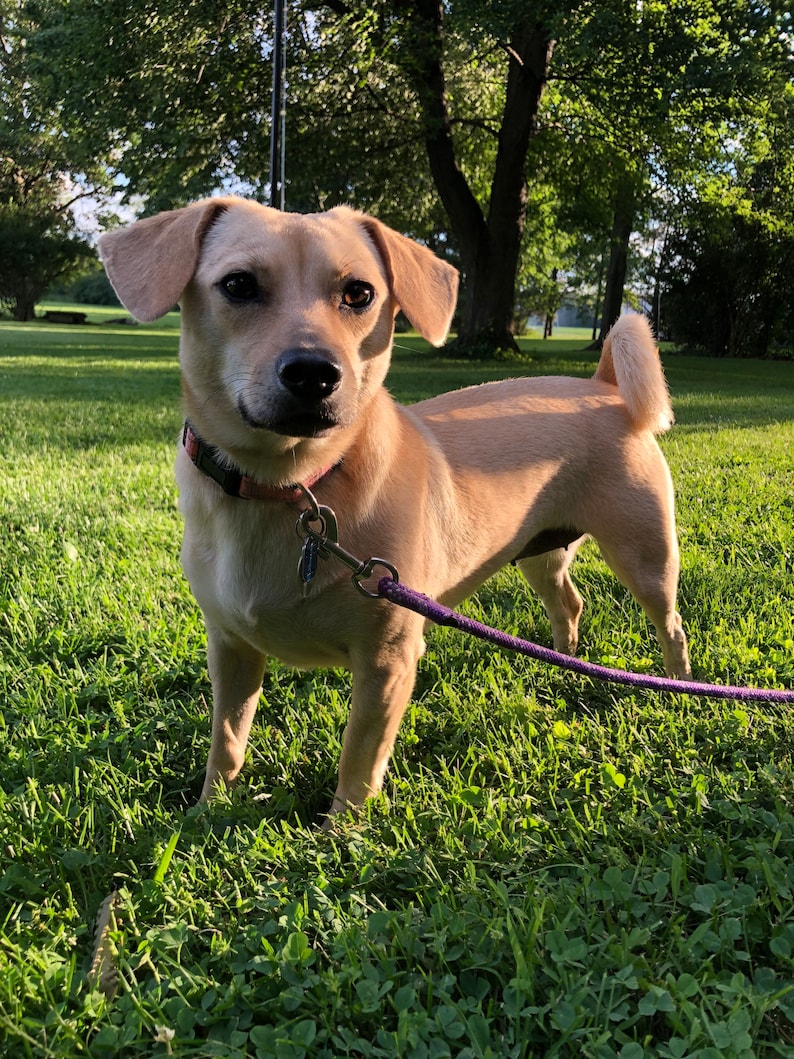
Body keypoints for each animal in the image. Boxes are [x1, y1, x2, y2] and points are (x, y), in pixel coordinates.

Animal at [102, 194, 694, 813]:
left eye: (359, 293)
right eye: (238, 285)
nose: (314, 372)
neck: (293, 486)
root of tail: (604, 387)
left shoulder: (386, 664)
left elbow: (359, 759)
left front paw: (342, 829)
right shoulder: (230, 648)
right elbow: (227, 738)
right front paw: (208, 810)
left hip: (646, 554)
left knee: (671, 624)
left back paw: (676, 686)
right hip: (539, 551)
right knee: (569, 603)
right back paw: (564, 663)